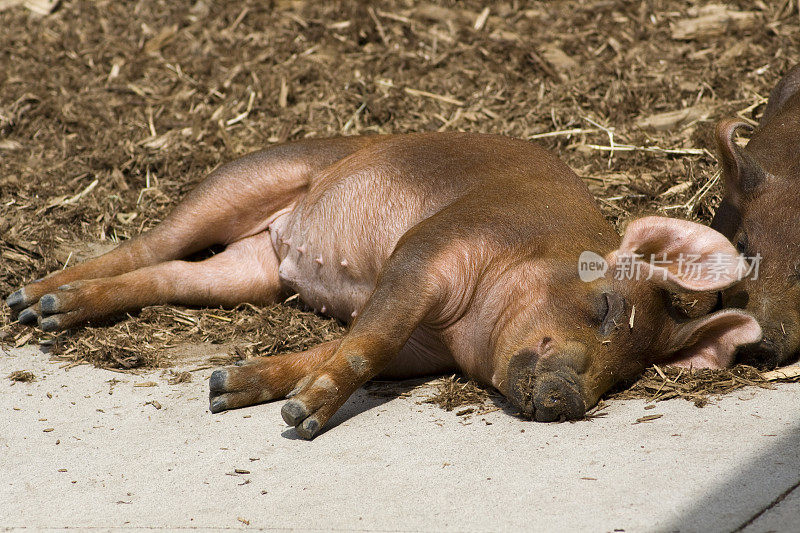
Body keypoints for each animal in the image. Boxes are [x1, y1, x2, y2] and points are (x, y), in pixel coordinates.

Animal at [6, 132, 760, 436]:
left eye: (628, 375)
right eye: (605, 307)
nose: (568, 399)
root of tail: (280, 239)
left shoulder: (416, 345)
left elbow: (345, 344)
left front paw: (226, 389)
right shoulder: (423, 256)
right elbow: (366, 341)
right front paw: (300, 421)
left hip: (248, 271)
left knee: (174, 273)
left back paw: (50, 311)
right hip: (256, 172)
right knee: (153, 242)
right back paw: (28, 303)